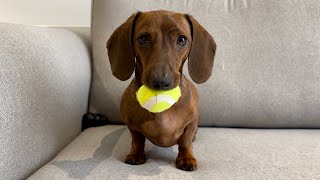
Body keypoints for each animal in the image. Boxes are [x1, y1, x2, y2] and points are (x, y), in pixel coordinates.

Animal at [107, 10, 215, 171]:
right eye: (143, 39)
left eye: (182, 39)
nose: (160, 82)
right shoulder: (131, 125)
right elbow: (137, 140)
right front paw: (136, 154)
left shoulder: (192, 121)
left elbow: (186, 141)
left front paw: (186, 158)